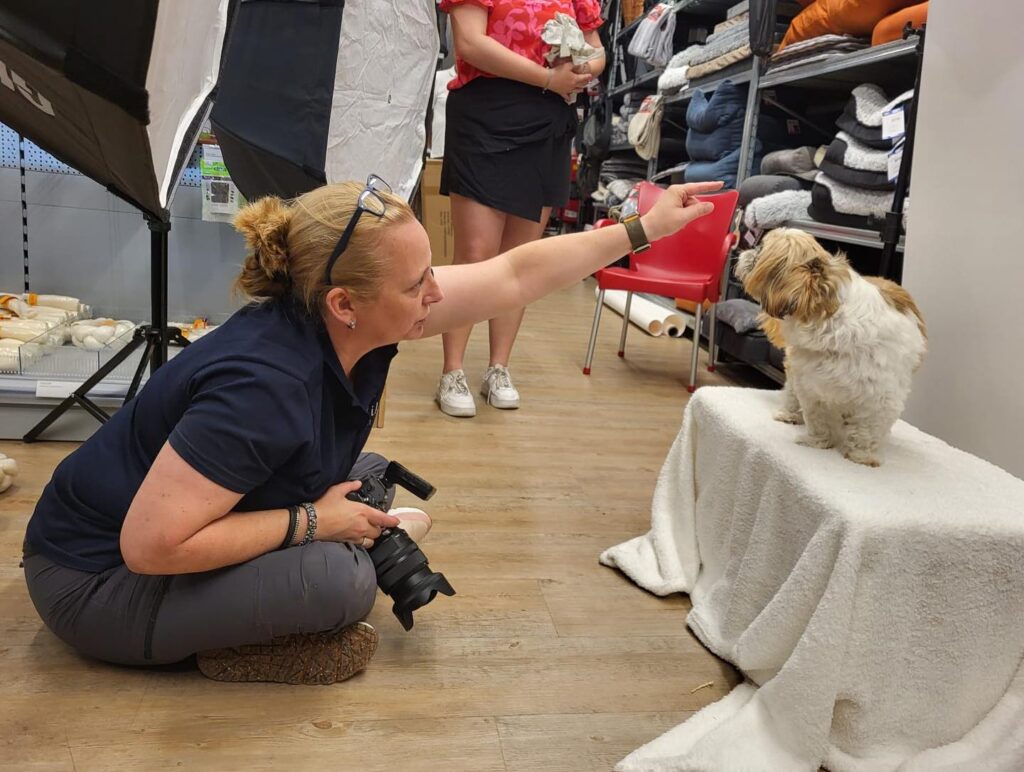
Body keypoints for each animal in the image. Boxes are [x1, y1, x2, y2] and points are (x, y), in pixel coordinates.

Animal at [737, 228, 929, 466]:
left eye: (760, 249)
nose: (746, 250)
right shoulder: (810, 384)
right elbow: (817, 417)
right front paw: (817, 441)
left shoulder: (882, 398)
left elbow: (868, 430)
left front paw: (861, 457)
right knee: (792, 391)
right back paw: (789, 413)